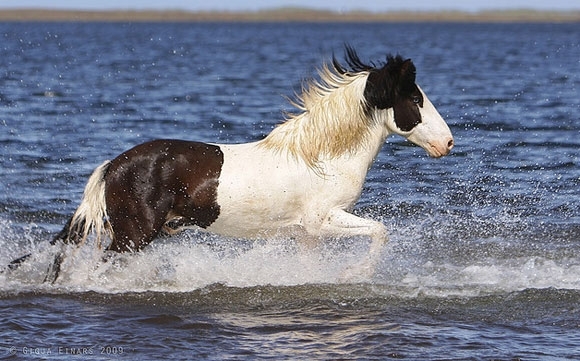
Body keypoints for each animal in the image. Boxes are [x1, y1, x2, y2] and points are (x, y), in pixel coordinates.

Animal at [6, 46, 456, 282]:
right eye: (415, 99)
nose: (448, 143)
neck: (322, 157)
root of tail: (112, 166)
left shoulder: (306, 234)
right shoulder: (322, 219)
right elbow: (380, 232)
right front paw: (355, 275)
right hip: (133, 236)